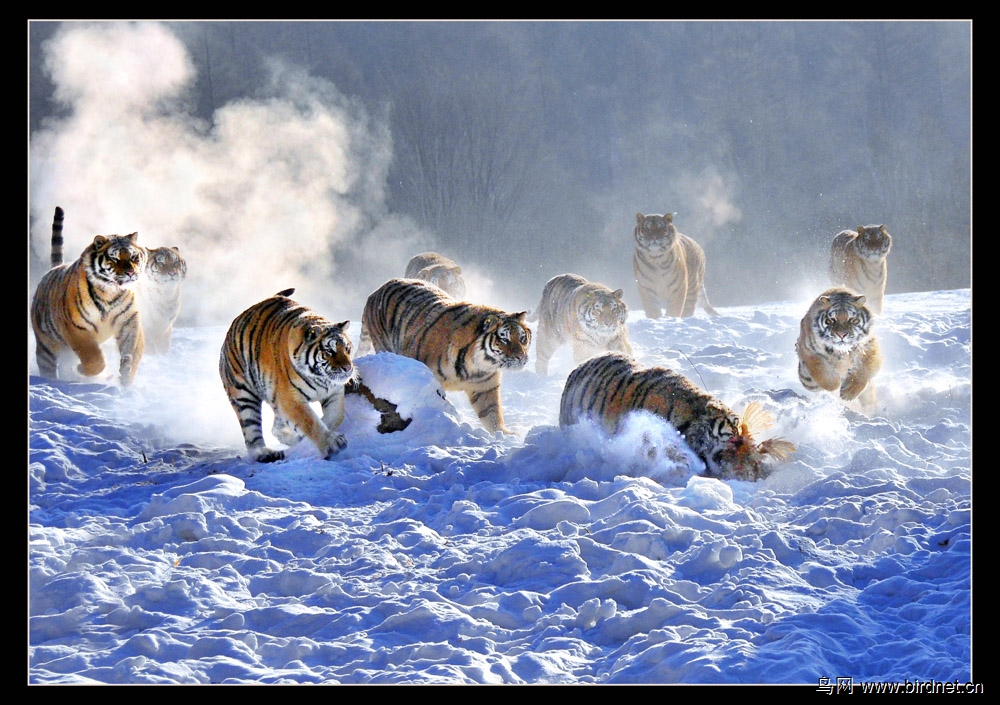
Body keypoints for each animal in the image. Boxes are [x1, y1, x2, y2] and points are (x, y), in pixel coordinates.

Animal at [30, 206, 146, 387]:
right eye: (115, 258)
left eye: (134, 257)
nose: (131, 273)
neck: (110, 291)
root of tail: (53, 269)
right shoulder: (75, 327)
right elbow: (93, 357)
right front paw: (82, 370)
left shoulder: (128, 320)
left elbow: (132, 351)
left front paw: (126, 376)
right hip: (46, 345)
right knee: (48, 365)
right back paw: (53, 381)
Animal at [219, 288, 355, 463]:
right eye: (329, 352)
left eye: (347, 349)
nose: (348, 368)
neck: (320, 378)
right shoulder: (290, 397)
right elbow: (309, 420)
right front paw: (331, 444)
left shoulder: (334, 392)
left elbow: (335, 416)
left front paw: (309, 438)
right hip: (243, 394)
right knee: (251, 430)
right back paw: (264, 453)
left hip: (273, 397)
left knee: (275, 427)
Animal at [358, 278, 531, 434]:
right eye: (504, 339)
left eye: (522, 338)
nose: (521, 358)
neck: (478, 364)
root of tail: (375, 291)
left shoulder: (486, 386)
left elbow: (492, 413)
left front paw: (504, 435)